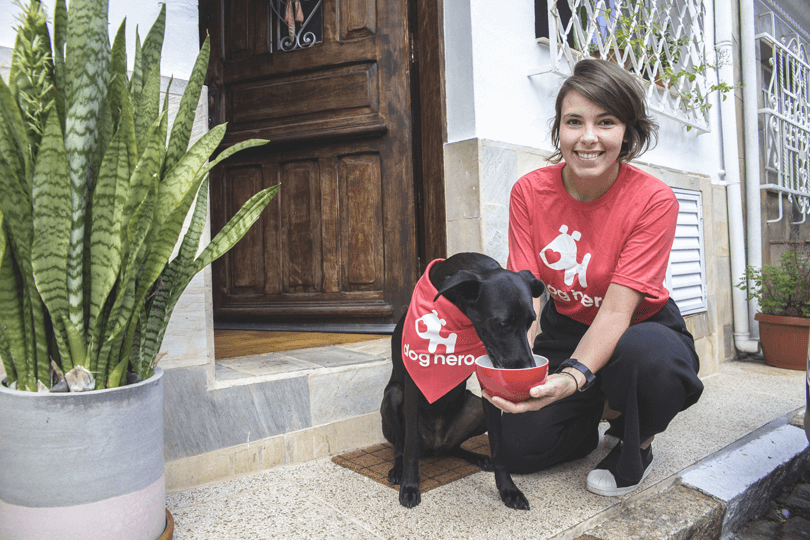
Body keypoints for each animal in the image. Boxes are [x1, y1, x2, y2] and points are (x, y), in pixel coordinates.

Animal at [378, 251, 544, 508]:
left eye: (530, 322)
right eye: (503, 322)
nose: (528, 367)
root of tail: (434, 445)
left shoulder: (487, 390)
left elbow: (498, 446)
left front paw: (509, 490)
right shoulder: (416, 378)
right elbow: (410, 446)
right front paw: (409, 485)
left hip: (474, 407)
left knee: (453, 448)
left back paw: (478, 458)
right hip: (393, 395)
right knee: (401, 445)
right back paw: (398, 469)